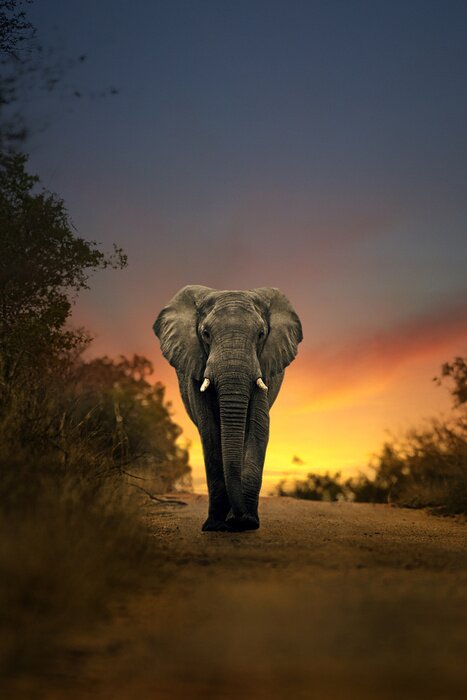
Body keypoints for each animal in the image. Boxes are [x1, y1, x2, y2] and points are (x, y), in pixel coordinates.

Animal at [153, 286, 302, 532]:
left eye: (261, 334)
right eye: (205, 334)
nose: (239, 518)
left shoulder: (264, 366)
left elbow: (259, 426)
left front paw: (247, 523)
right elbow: (210, 432)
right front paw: (215, 526)